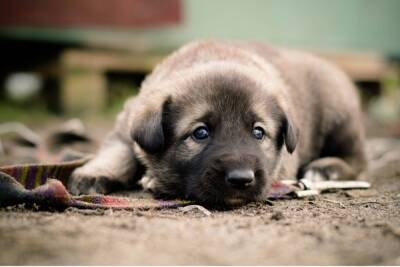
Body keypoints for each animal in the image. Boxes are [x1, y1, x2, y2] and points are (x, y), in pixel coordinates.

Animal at [68, 40, 366, 206]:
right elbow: (117, 152)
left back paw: (326, 168)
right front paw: (94, 173)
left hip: (339, 116)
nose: (241, 179)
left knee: (358, 158)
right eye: (200, 133)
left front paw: (153, 178)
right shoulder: (126, 126)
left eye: (259, 132)